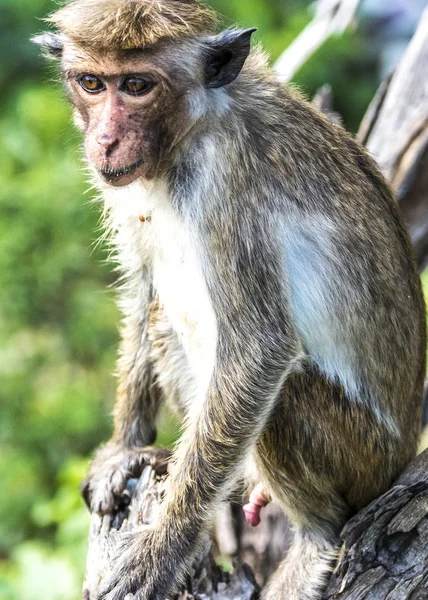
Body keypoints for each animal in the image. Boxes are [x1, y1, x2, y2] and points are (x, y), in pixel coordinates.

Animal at [35, 2, 426, 596]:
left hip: (364, 455)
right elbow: (145, 285)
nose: (104, 139)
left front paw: (161, 551)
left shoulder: (229, 183)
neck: (190, 132)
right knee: (163, 312)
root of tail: (405, 449)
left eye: (137, 85)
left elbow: (258, 350)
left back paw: (316, 537)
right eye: (92, 83)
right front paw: (124, 449)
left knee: (283, 395)